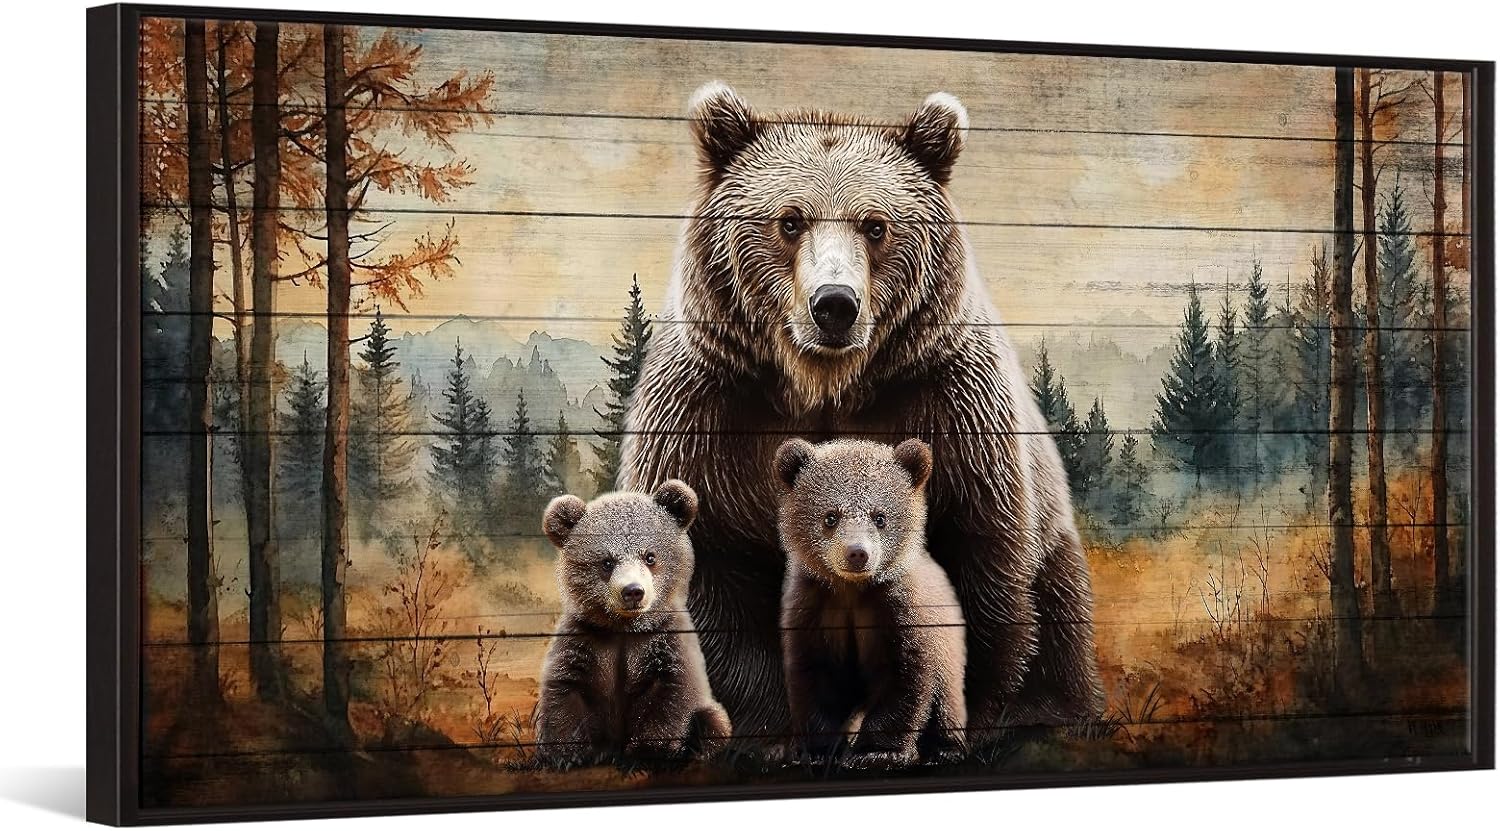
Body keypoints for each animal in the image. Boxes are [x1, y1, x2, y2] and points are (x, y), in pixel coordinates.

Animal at [533, 481, 732, 767]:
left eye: (650, 556)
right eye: (607, 562)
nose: (633, 591)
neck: (623, 627)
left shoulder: (666, 641)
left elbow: (670, 694)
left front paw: (648, 752)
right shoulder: (584, 639)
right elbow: (565, 690)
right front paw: (566, 756)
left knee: (713, 721)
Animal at [774, 437, 967, 768]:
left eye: (880, 517)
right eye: (830, 516)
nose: (857, 553)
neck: (852, 590)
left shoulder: (896, 608)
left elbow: (903, 674)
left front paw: (876, 751)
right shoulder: (814, 606)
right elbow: (814, 675)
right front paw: (815, 750)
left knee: (947, 697)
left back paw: (946, 749)